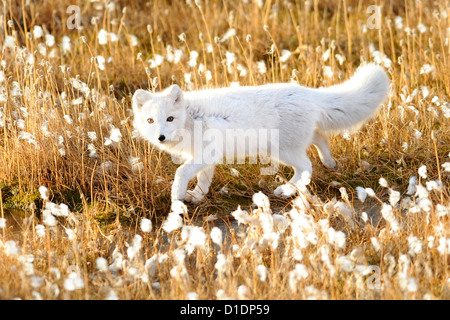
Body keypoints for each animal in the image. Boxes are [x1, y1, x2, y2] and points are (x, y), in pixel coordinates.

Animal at [132, 63, 388, 206]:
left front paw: (177, 195)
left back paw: (288, 190)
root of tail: (308, 93)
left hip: (282, 151)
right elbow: (203, 180)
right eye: (150, 121)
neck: (190, 119)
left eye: (170, 119)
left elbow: (181, 172)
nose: (160, 137)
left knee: (306, 168)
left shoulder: (205, 154)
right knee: (319, 138)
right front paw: (196, 196)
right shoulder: (206, 157)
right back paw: (329, 162)